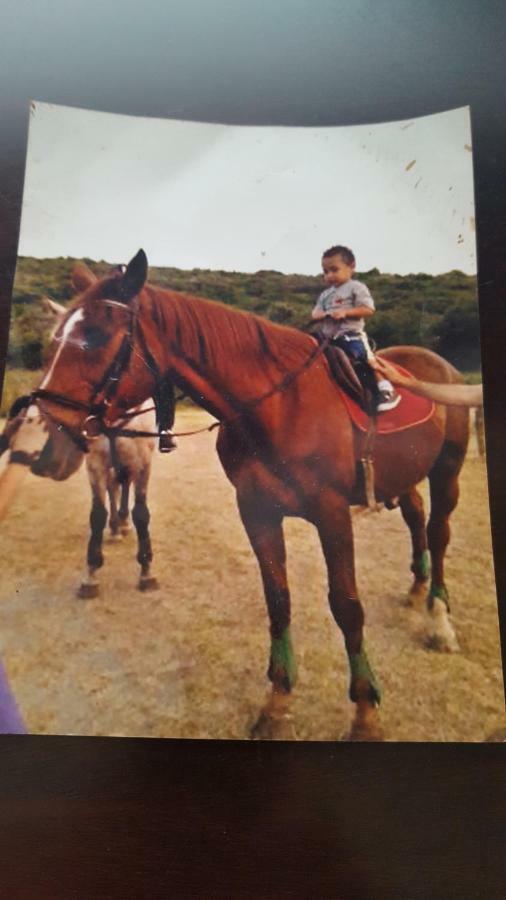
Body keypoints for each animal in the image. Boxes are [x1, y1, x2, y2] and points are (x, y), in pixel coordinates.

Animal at [31, 250, 468, 740]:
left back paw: (439, 620)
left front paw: (365, 710)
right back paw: (417, 588)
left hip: (446, 472)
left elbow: (347, 606)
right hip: (405, 476)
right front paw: (278, 700)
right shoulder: (257, 513)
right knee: (415, 517)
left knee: (438, 532)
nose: (49, 447)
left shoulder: (332, 513)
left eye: (95, 337)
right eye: (55, 338)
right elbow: (278, 601)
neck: (278, 406)